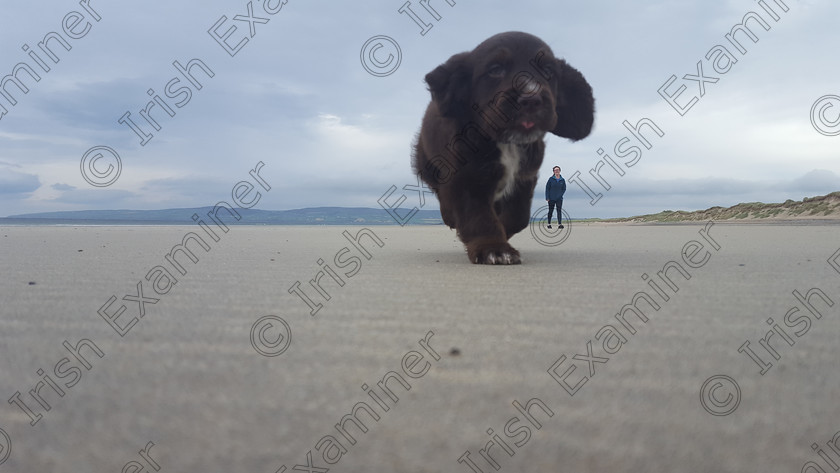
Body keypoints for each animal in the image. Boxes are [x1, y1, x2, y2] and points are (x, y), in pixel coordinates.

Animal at [412, 31, 592, 264]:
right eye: (495, 69)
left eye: (548, 71)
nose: (531, 99)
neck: (507, 142)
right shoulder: (466, 178)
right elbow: (478, 216)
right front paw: (493, 248)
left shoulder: (524, 178)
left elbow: (519, 216)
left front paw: (503, 234)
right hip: (429, 165)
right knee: (442, 194)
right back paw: (450, 216)